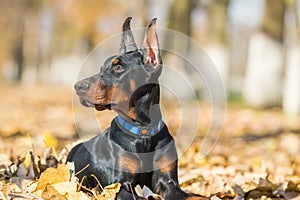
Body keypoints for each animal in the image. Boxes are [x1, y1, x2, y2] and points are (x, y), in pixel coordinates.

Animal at [67, 17, 206, 200]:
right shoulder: (120, 185)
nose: (78, 87)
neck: (143, 132)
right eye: (101, 68)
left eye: (119, 68)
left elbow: (194, 195)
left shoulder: (168, 182)